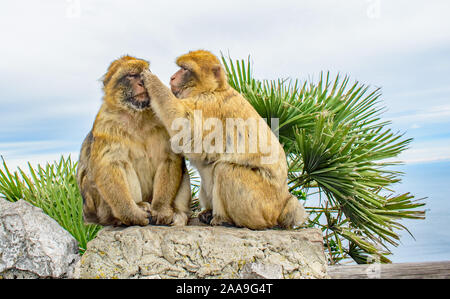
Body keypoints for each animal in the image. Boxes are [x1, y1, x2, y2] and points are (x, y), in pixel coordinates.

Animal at [76, 55, 191, 226]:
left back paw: (178, 213)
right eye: (131, 75)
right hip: (100, 208)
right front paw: (131, 214)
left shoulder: (163, 118)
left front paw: (161, 209)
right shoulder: (106, 123)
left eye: (144, 73)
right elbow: (110, 166)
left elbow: (168, 158)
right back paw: (135, 208)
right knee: (120, 164)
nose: (141, 83)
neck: (137, 116)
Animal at [142, 51, 308, 230]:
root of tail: (283, 206)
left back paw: (226, 220)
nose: (172, 77)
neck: (214, 89)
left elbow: (185, 126)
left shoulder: (209, 105)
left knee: (226, 170)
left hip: (262, 204)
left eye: (184, 69)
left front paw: (151, 80)